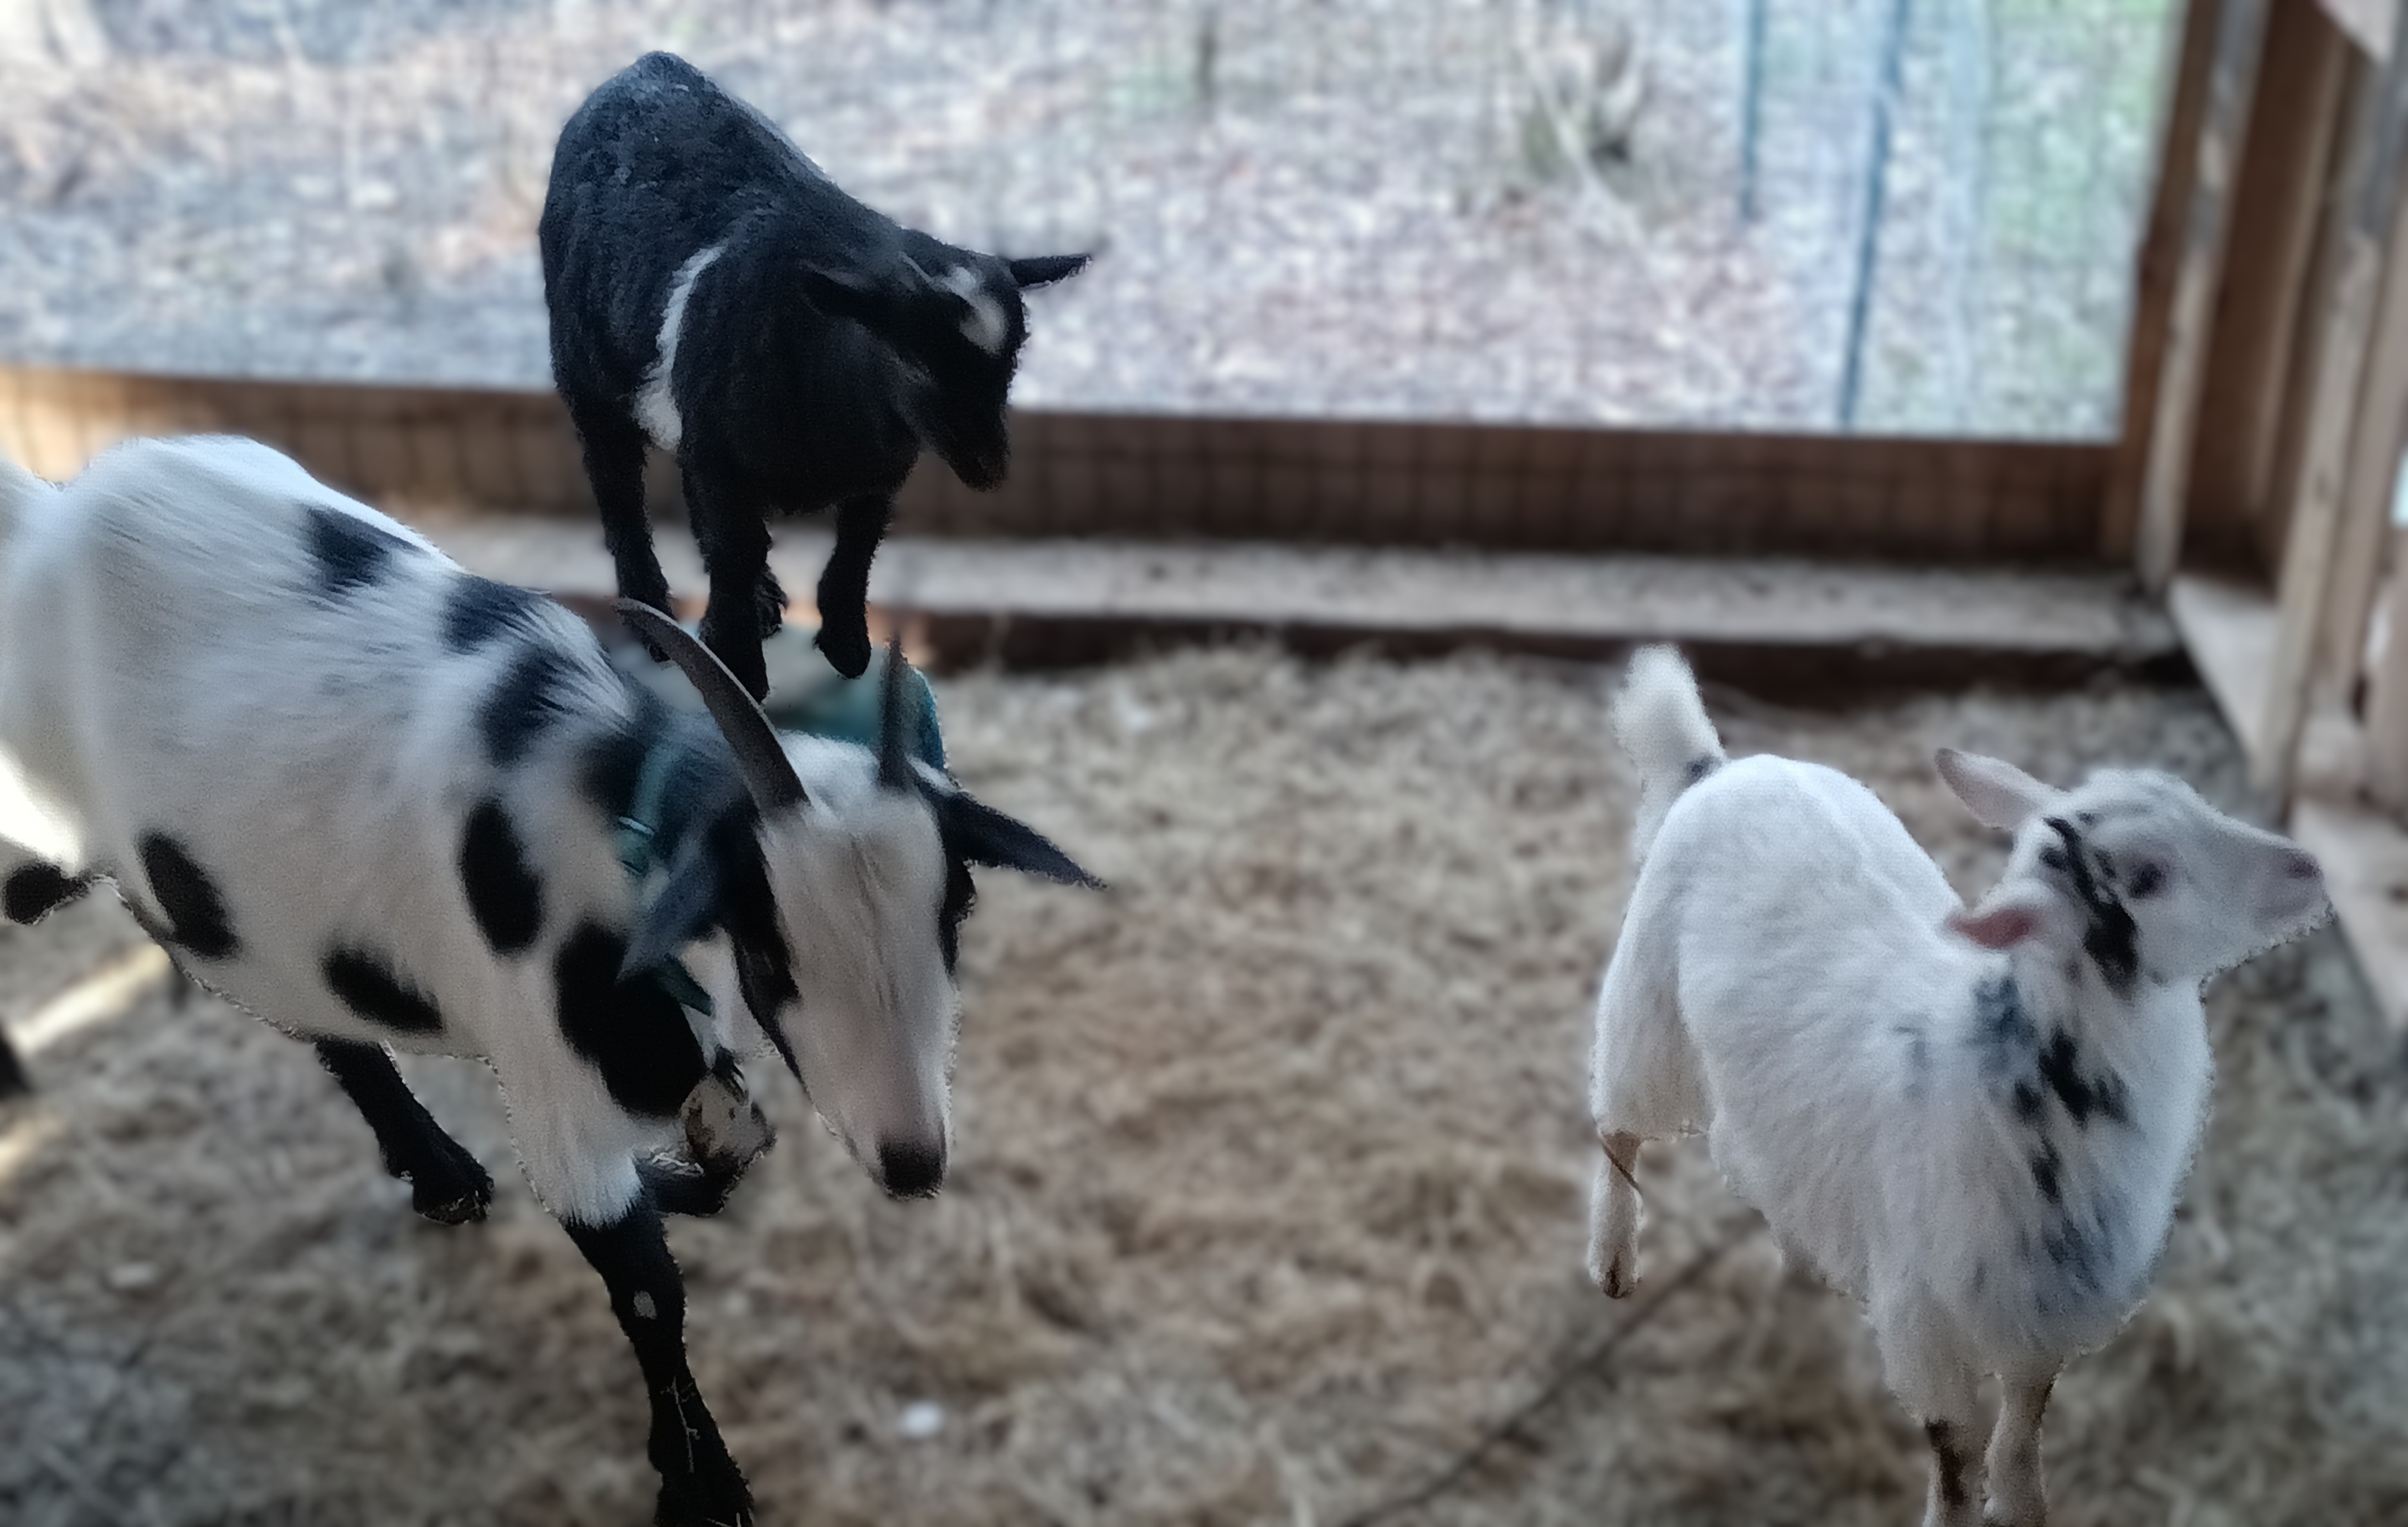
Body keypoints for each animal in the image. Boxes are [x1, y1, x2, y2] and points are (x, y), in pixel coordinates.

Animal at [0, 436, 1100, 1527]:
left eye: (953, 911)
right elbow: (648, 1289)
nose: (913, 1161)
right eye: (768, 950)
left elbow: (712, 1168)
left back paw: (439, 1174)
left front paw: (679, 1185)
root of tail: (53, 511)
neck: (613, 807)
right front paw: (701, 1485)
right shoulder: (553, 1092)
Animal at [540, 50, 1089, 701]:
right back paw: (652, 615)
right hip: (587, 376)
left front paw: (846, 642)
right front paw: (739, 666)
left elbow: (857, 542)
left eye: (1013, 361)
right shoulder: (724, 457)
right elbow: (736, 549)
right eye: (912, 358)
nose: (989, 469)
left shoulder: (882, 466)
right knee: (619, 492)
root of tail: (646, 64)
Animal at [1586, 647, 2327, 1527]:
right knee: (1617, 1124)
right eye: (2147, 875)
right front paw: (1959, 1508)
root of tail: (1720, 769)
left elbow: (2026, 1413)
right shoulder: (1925, 1323)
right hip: (1648, 1007)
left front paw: (2025, 1501)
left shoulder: (2042, 1309)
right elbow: (1953, 1451)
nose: (2309, 867)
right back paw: (1613, 1258)